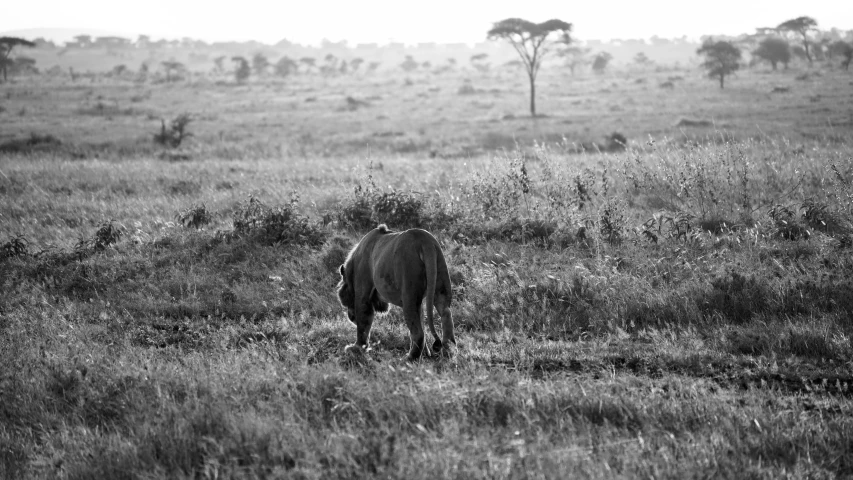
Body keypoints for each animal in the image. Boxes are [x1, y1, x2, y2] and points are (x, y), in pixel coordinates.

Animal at [332, 225, 456, 360]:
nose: (351, 317)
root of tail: (425, 240)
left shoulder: (363, 293)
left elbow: (363, 323)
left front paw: (357, 348)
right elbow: (422, 322)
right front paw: (426, 353)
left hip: (409, 295)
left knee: (418, 333)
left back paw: (409, 358)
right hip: (440, 286)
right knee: (446, 315)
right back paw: (448, 351)